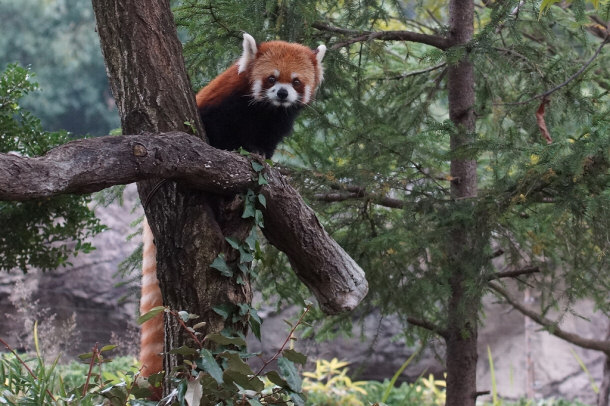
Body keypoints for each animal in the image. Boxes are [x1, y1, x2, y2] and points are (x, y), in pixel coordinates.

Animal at [138, 33, 326, 382]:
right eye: (271, 79)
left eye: (295, 81)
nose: (282, 93)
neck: (265, 110)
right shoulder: (225, 104)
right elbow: (216, 129)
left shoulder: (277, 122)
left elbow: (266, 143)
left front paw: (261, 155)